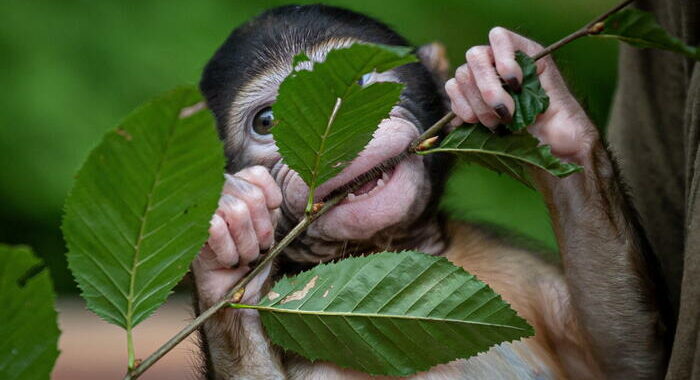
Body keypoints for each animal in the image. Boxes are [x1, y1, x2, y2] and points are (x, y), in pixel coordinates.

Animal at [190, 3, 668, 380]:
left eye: (359, 81)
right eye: (268, 120)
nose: (339, 126)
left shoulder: (521, 266)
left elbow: (630, 360)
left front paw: (534, 97)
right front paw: (226, 237)